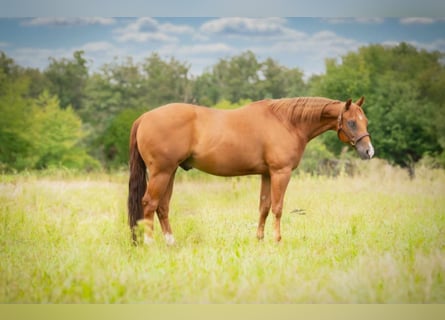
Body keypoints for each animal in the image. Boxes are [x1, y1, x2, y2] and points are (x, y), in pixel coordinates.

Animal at [126, 96, 372, 244]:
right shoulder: (281, 173)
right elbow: (278, 208)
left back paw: (171, 243)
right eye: (351, 122)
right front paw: (277, 240)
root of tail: (144, 117)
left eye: (365, 121)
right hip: (161, 172)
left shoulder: (266, 174)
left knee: (163, 207)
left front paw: (260, 239)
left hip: (170, 172)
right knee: (149, 203)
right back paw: (149, 243)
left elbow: (264, 207)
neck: (286, 122)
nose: (369, 151)